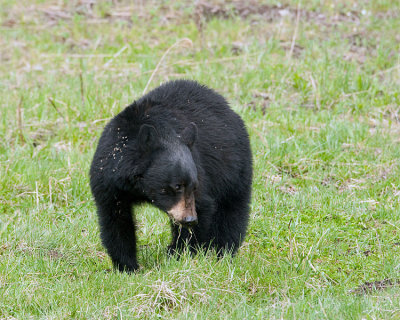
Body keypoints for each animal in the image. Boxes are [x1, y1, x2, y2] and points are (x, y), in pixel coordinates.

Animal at [91, 79, 253, 272]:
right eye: (176, 186)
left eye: (194, 186)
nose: (190, 219)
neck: (138, 187)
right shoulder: (109, 181)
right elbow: (116, 221)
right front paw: (127, 267)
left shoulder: (199, 172)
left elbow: (202, 208)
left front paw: (178, 254)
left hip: (234, 170)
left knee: (232, 213)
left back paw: (223, 252)